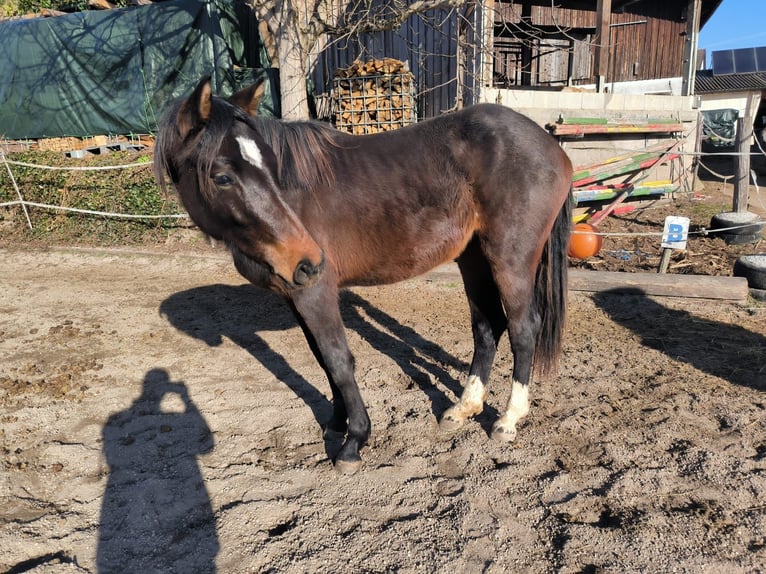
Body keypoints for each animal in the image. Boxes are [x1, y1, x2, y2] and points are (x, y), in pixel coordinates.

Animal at [155, 76, 573, 475]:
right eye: (223, 177)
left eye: (271, 169)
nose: (308, 258)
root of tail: (553, 148)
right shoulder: (296, 292)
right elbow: (322, 360)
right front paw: (335, 423)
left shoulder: (315, 291)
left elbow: (339, 361)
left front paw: (354, 440)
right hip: (472, 258)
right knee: (487, 327)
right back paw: (463, 408)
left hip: (510, 258)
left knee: (522, 329)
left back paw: (508, 419)